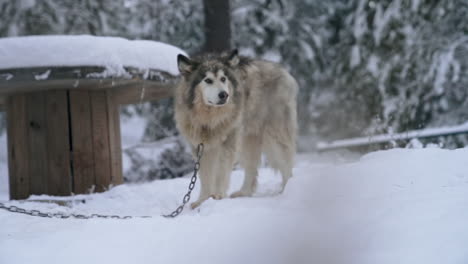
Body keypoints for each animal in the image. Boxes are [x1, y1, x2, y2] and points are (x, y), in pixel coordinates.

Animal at [174, 49, 298, 208]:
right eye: (208, 80)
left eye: (223, 79)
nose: (224, 95)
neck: (209, 121)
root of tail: (282, 70)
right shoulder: (201, 147)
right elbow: (205, 177)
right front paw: (203, 201)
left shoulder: (227, 144)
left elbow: (220, 173)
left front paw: (217, 196)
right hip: (248, 141)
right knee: (251, 169)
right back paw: (243, 193)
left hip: (273, 137)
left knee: (286, 164)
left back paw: (286, 191)